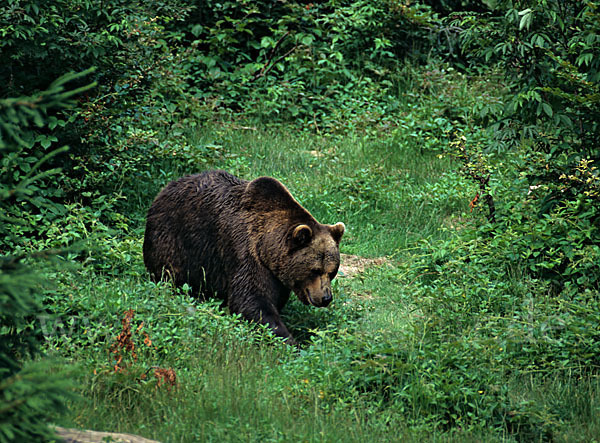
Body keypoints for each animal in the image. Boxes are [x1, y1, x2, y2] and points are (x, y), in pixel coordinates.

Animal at [142, 170, 344, 344]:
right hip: (173, 238)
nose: (326, 298)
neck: (266, 247)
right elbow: (251, 300)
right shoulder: (244, 251)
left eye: (332, 271)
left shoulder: (276, 275)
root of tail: (164, 189)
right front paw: (289, 341)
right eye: (315, 270)